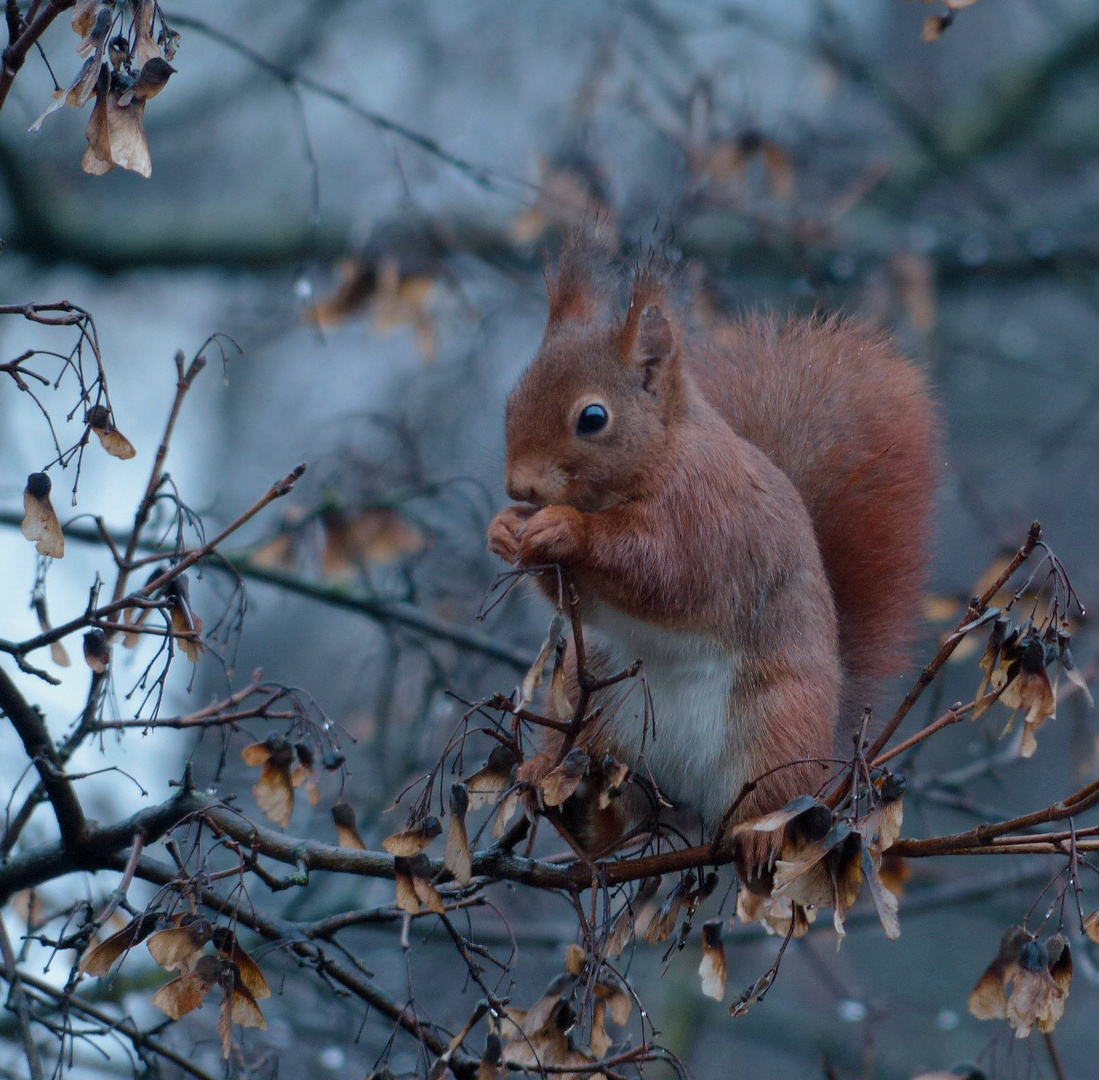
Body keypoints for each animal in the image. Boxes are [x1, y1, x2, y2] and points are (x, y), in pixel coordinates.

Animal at [490, 242, 936, 861]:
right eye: (511, 401)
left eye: (593, 418)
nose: (520, 487)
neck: (662, 456)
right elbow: (583, 598)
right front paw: (506, 529)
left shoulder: (709, 521)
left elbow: (663, 572)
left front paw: (566, 528)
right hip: (593, 704)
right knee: (617, 817)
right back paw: (560, 792)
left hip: (775, 729)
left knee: (765, 796)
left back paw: (757, 837)